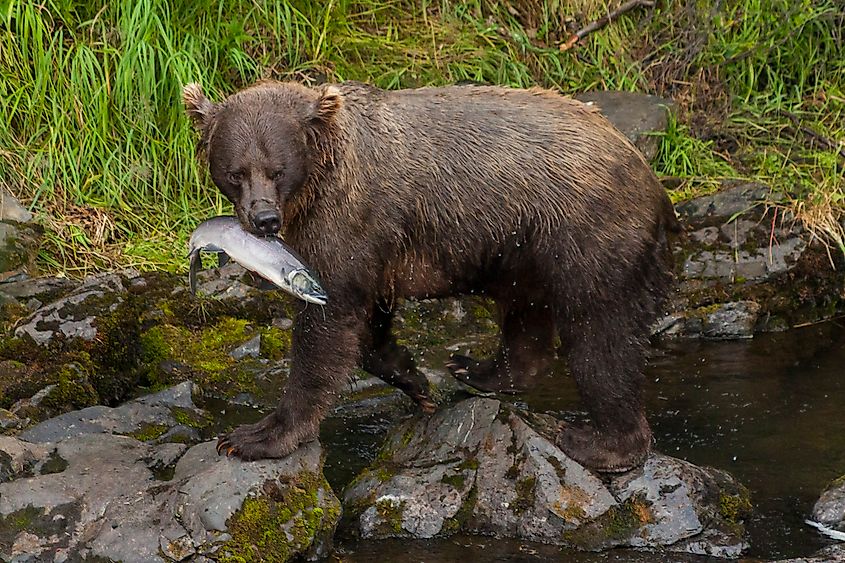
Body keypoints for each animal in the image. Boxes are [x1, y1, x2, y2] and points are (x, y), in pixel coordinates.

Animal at [183, 80, 678, 472]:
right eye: (235, 172)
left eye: (278, 170)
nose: (264, 219)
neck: (317, 179)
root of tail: (650, 176)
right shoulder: (376, 247)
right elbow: (367, 322)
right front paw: (415, 379)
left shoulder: (349, 217)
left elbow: (329, 320)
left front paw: (255, 436)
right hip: (522, 246)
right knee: (526, 314)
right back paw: (478, 369)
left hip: (584, 231)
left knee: (600, 335)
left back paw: (599, 441)